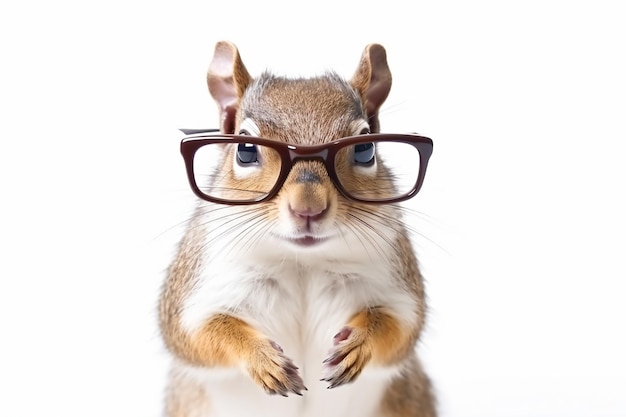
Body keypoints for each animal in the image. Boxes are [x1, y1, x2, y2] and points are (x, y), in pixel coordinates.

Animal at [157, 39, 434, 416]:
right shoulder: (198, 291)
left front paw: (359, 344)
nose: (308, 207)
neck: (302, 262)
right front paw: (262, 359)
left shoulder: (398, 287)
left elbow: (400, 329)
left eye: (365, 148)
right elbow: (197, 335)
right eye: (245, 150)